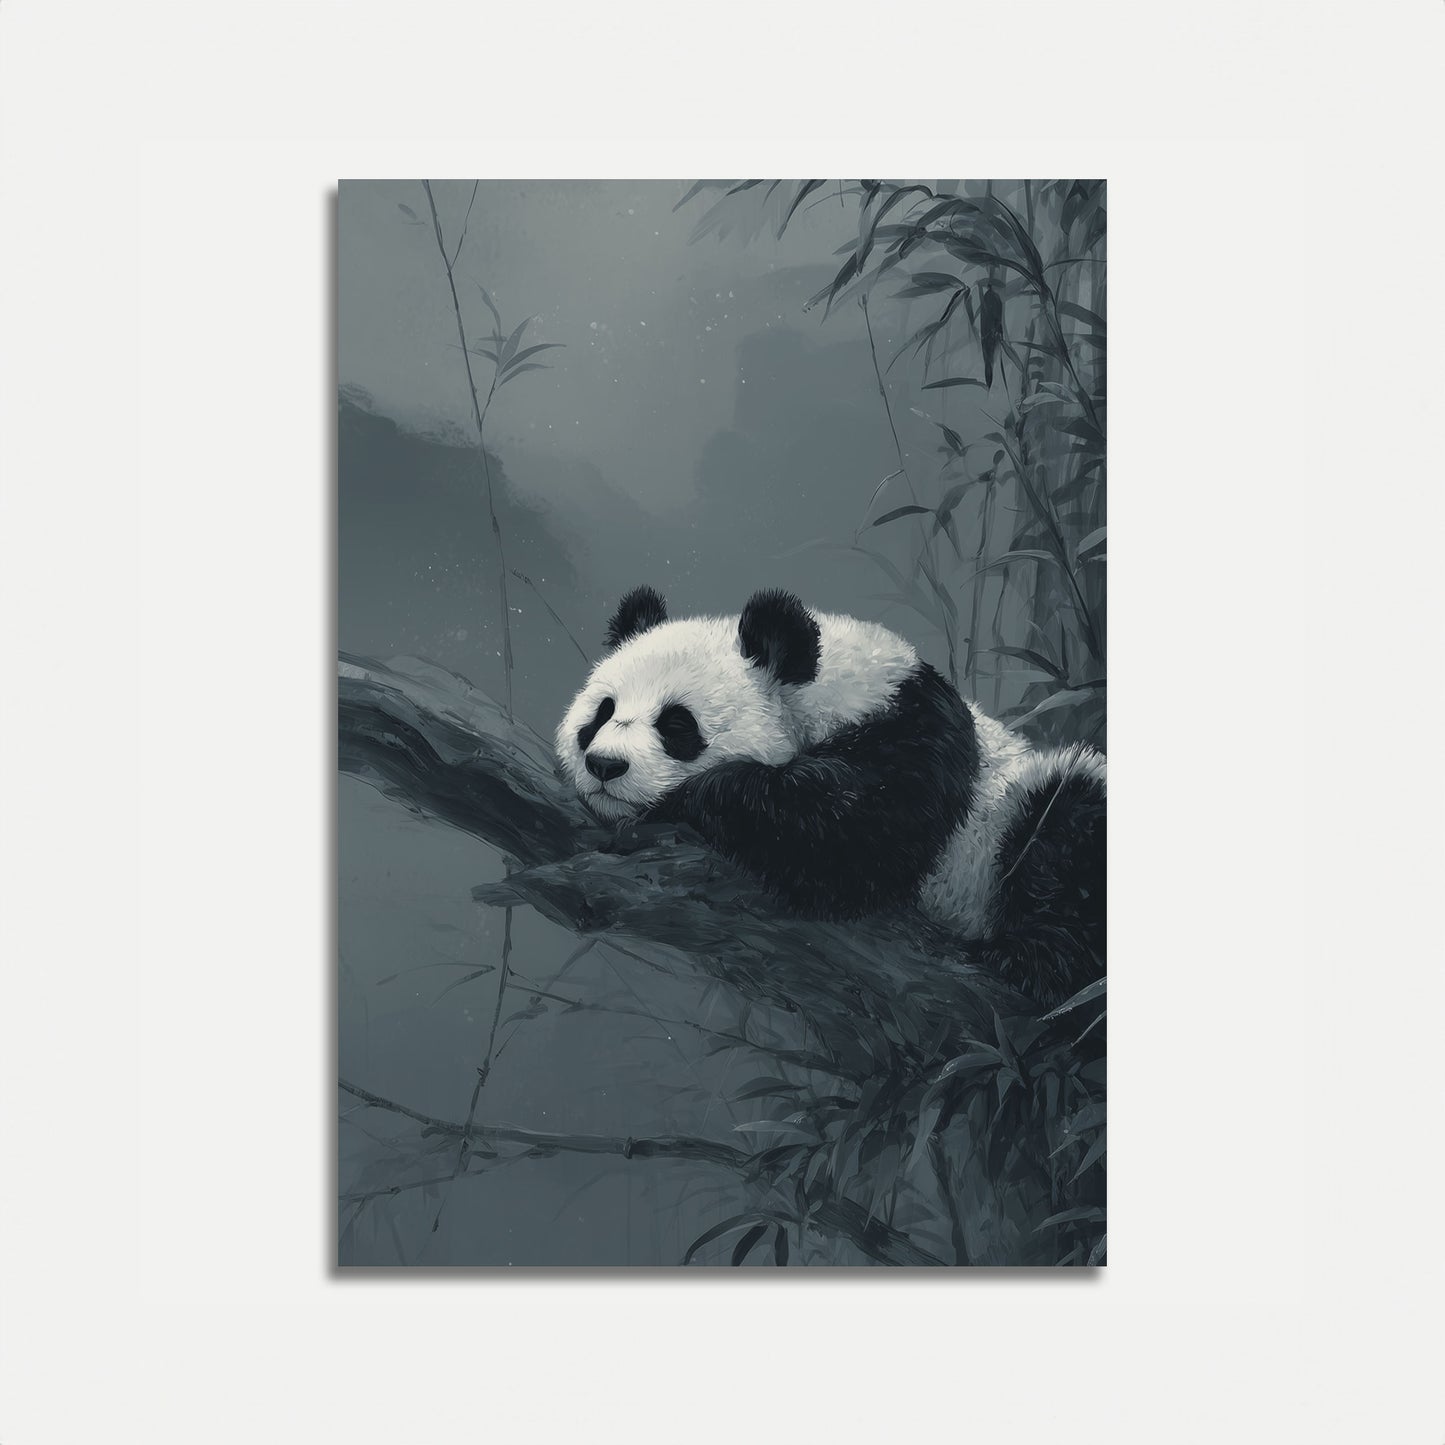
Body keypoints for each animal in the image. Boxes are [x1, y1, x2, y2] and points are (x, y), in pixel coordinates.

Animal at [555, 585, 1105, 1003]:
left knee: (1062, 839)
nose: (605, 765)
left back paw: (1029, 960)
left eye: (676, 725)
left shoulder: (918, 739)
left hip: (1020, 818)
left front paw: (688, 799)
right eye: (603, 712)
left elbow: (850, 833)